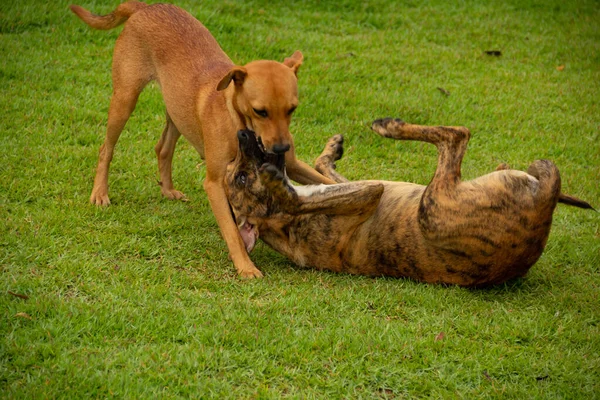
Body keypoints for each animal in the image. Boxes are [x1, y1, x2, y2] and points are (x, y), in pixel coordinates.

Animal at [70, 1, 336, 278]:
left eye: (292, 109)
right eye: (260, 111)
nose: (282, 147)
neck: (236, 118)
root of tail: (147, 6)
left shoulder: (292, 165)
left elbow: (328, 181)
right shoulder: (216, 183)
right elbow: (231, 231)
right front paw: (245, 267)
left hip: (177, 111)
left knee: (163, 148)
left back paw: (167, 189)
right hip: (125, 99)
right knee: (106, 148)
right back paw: (100, 193)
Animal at [226, 119, 596, 288]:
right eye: (240, 179)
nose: (241, 134)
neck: (282, 227)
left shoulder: (338, 186)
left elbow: (321, 166)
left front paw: (331, 148)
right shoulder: (367, 191)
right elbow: (299, 197)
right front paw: (279, 188)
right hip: (433, 207)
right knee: (456, 136)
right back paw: (390, 126)